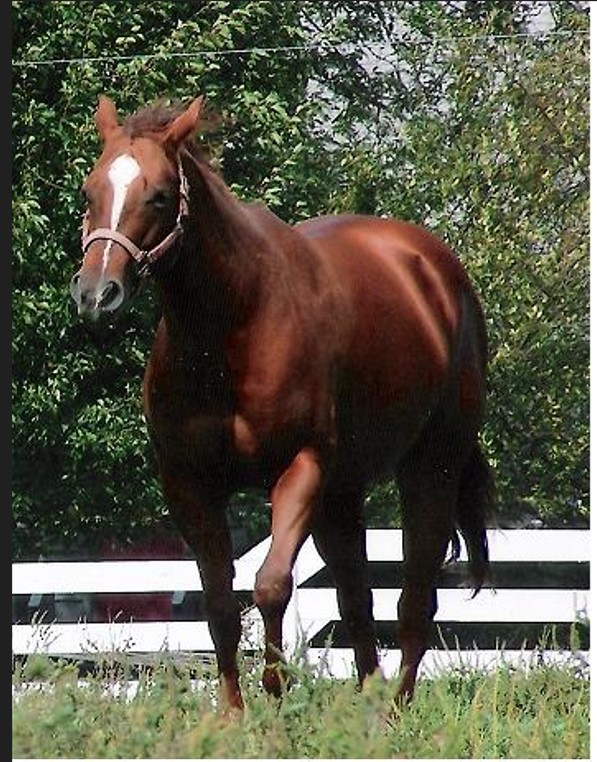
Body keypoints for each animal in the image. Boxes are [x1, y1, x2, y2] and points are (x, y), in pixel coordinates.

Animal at [70, 95, 493, 712]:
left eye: (160, 195)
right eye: (89, 190)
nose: (96, 293)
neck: (233, 328)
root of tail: (439, 273)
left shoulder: (300, 468)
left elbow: (270, 585)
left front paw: (273, 692)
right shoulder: (189, 483)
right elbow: (220, 603)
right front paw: (232, 714)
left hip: (430, 468)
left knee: (414, 597)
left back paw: (396, 710)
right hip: (342, 494)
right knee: (356, 601)